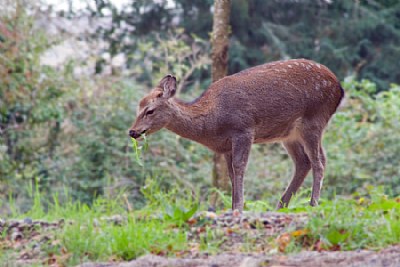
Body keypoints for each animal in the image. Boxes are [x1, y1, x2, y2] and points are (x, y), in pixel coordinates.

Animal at [128, 59, 344, 213]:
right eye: (138, 106)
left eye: (150, 110)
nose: (132, 131)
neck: (213, 123)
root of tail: (339, 88)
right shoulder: (225, 146)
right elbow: (231, 173)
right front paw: (233, 206)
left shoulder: (244, 129)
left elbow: (239, 167)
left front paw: (239, 207)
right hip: (289, 134)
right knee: (303, 162)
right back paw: (281, 206)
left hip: (314, 119)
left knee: (318, 161)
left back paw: (313, 204)